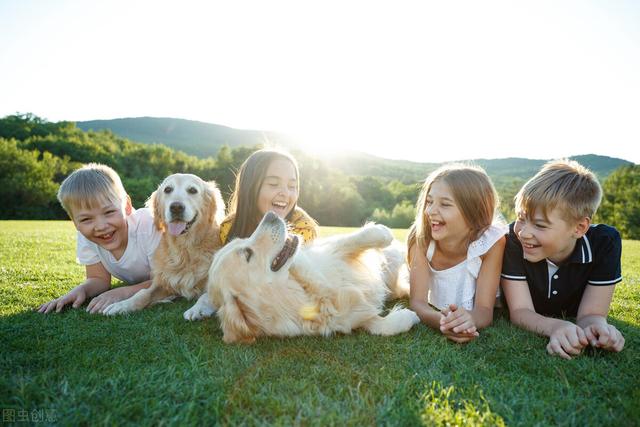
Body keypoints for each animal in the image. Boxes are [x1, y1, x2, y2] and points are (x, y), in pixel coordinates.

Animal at [104, 174, 224, 318]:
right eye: (168, 189)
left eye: (193, 190)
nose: (176, 207)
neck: (185, 250)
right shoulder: (165, 281)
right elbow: (143, 293)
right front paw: (122, 305)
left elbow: (206, 296)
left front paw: (197, 309)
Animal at [208, 212, 422, 346]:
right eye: (247, 253)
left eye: (242, 241)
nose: (271, 214)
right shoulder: (349, 319)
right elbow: (383, 326)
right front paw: (408, 315)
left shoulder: (328, 252)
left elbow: (353, 239)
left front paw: (383, 233)